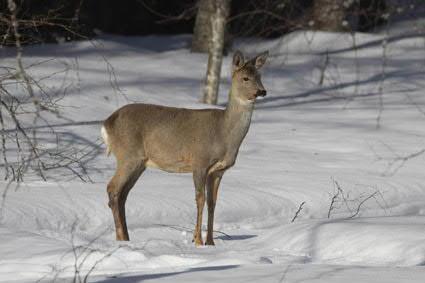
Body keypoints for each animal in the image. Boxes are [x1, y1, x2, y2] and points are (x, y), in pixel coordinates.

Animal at [102, 50, 268, 246]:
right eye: (245, 78)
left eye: (260, 76)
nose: (262, 91)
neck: (224, 134)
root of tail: (107, 123)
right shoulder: (199, 162)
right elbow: (200, 199)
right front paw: (197, 241)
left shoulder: (218, 171)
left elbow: (213, 202)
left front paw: (211, 243)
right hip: (128, 155)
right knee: (112, 189)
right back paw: (121, 238)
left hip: (139, 163)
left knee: (123, 194)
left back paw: (127, 238)